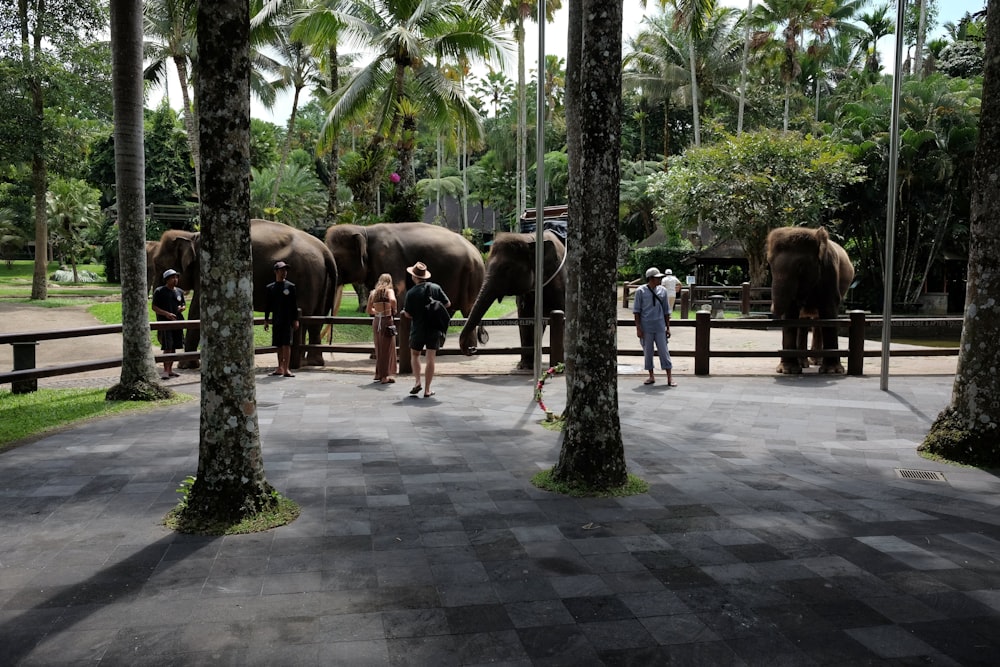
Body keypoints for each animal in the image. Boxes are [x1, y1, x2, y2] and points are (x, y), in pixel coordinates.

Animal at [151, 219, 340, 368]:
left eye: (159, 266)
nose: (161, 341)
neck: (191, 236)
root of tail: (325, 251)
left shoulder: (206, 268)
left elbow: (197, 310)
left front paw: (185, 366)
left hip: (307, 276)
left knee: (304, 316)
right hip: (320, 279)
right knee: (316, 318)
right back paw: (313, 362)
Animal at [326, 223, 486, 352]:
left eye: (337, 258)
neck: (363, 229)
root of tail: (478, 252)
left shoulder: (388, 257)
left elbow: (396, 296)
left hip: (472, 277)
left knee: (468, 311)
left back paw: (468, 350)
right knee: (448, 310)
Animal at [458, 231, 568, 370]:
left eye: (506, 268)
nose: (471, 349)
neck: (531, 239)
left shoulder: (561, 285)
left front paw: (561, 366)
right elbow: (526, 319)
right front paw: (524, 366)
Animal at [764, 227, 852, 376]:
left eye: (800, 266)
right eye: (769, 264)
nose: (771, 308)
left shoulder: (829, 272)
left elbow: (828, 311)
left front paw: (832, 371)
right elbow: (791, 314)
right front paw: (787, 371)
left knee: (818, 321)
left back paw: (816, 362)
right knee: (804, 322)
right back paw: (803, 363)